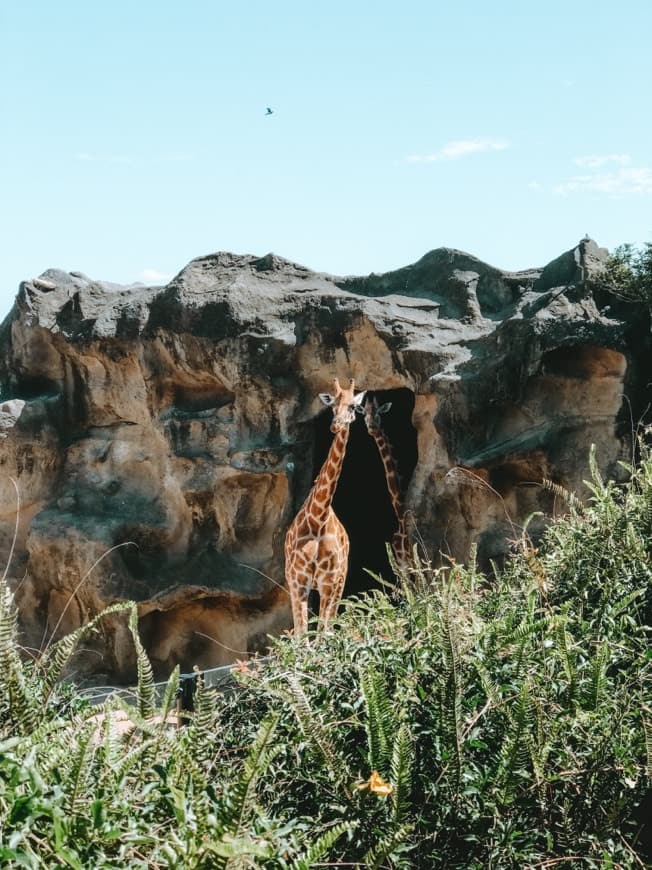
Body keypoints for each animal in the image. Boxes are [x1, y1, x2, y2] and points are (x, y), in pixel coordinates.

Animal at [286, 378, 366, 636]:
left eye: (354, 406)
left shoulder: (328, 582)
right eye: (331, 406)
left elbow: (322, 634)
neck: (318, 516)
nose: (336, 425)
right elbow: (302, 636)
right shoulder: (298, 581)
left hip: (339, 582)